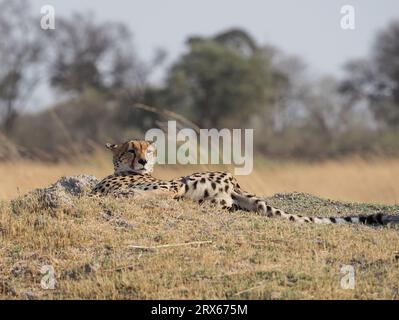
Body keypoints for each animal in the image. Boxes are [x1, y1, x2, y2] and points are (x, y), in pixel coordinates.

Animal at [92, 139, 399, 225]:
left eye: (148, 149)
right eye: (131, 150)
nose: (144, 162)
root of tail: (233, 179)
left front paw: (123, 194)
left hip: (188, 180)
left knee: (174, 190)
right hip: (213, 196)